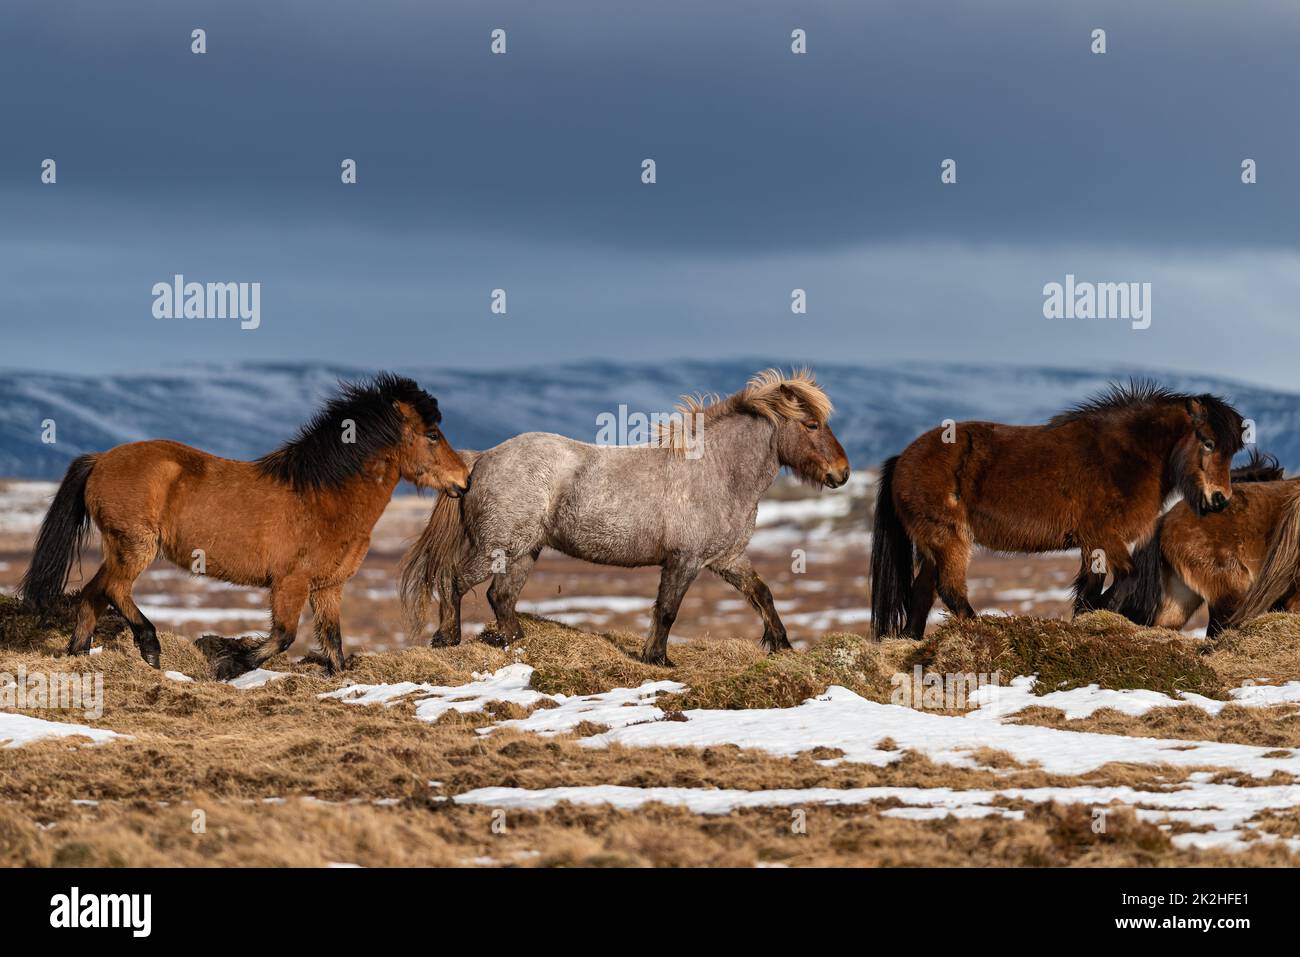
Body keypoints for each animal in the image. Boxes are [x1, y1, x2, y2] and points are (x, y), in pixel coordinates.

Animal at [17, 369, 470, 676]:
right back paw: (149, 647)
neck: (324, 496)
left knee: (94, 593)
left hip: (119, 549)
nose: (463, 480)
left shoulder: (328, 587)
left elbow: (334, 644)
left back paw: (78, 653)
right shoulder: (290, 583)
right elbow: (283, 636)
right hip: (135, 546)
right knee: (113, 589)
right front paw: (228, 666)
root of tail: (100, 460)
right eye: (432, 434)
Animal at [405, 369, 852, 665]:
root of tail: (480, 459)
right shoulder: (685, 561)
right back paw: (448, 638)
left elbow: (762, 593)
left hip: (523, 552)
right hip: (496, 547)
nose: (842, 473)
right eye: (812, 424)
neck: (716, 470)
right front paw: (658, 658)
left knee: (501, 597)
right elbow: (667, 609)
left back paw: (517, 643)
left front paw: (782, 645)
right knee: (454, 580)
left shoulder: (726, 560)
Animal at [873, 377, 1248, 639]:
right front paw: (1097, 616)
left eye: (1232, 451)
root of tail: (902, 458)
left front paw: (1084, 620)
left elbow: (1088, 589)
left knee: (922, 593)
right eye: (1208, 443)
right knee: (949, 590)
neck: (1127, 456)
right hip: (950, 540)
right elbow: (1126, 577)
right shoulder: (1104, 535)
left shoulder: (1093, 544)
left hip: (932, 545)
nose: (1220, 499)